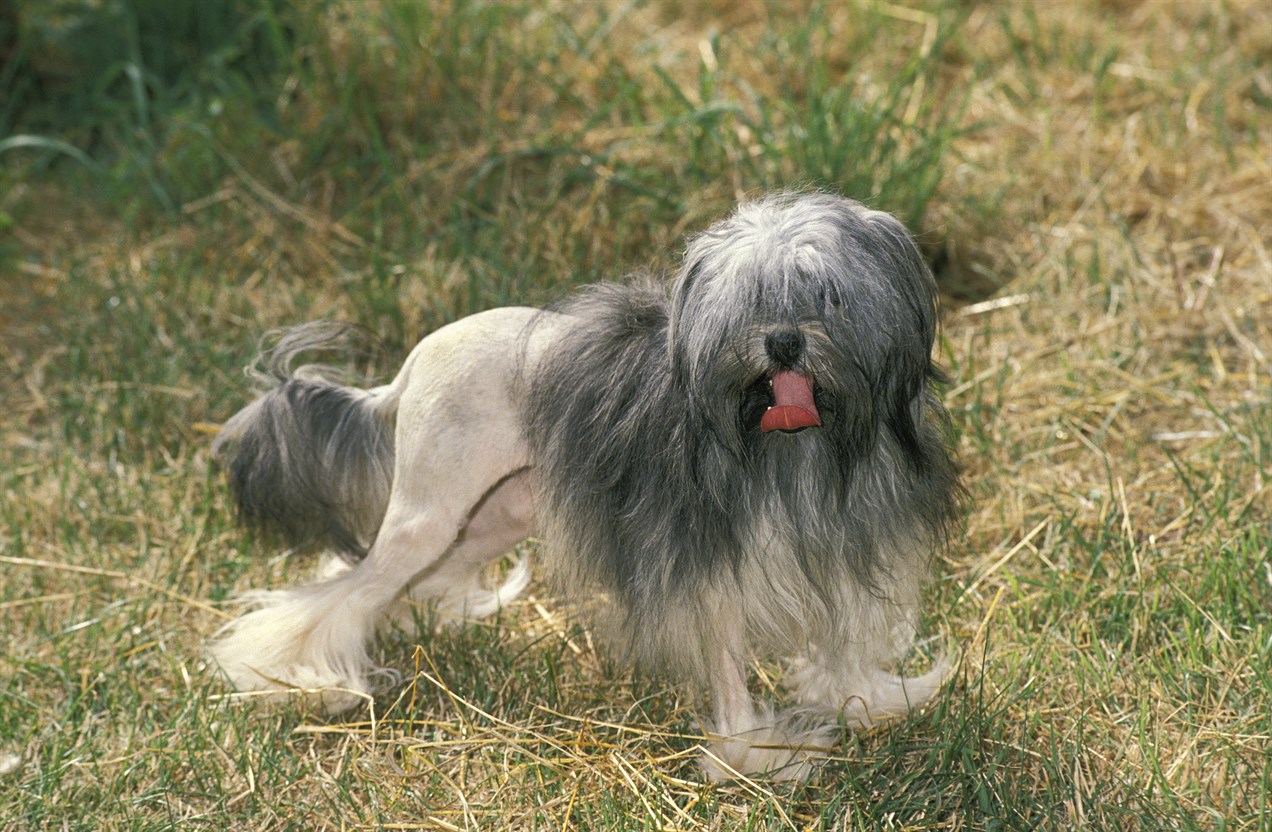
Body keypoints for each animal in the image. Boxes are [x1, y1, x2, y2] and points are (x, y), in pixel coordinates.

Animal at [208, 193, 961, 783]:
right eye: (746, 302)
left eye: (825, 295)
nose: (782, 343)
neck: (797, 447)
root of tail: (408, 367)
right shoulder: (708, 573)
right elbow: (729, 675)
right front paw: (756, 753)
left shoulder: (847, 549)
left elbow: (846, 640)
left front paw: (865, 699)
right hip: (431, 512)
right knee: (345, 588)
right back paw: (294, 674)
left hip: (495, 515)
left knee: (395, 582)